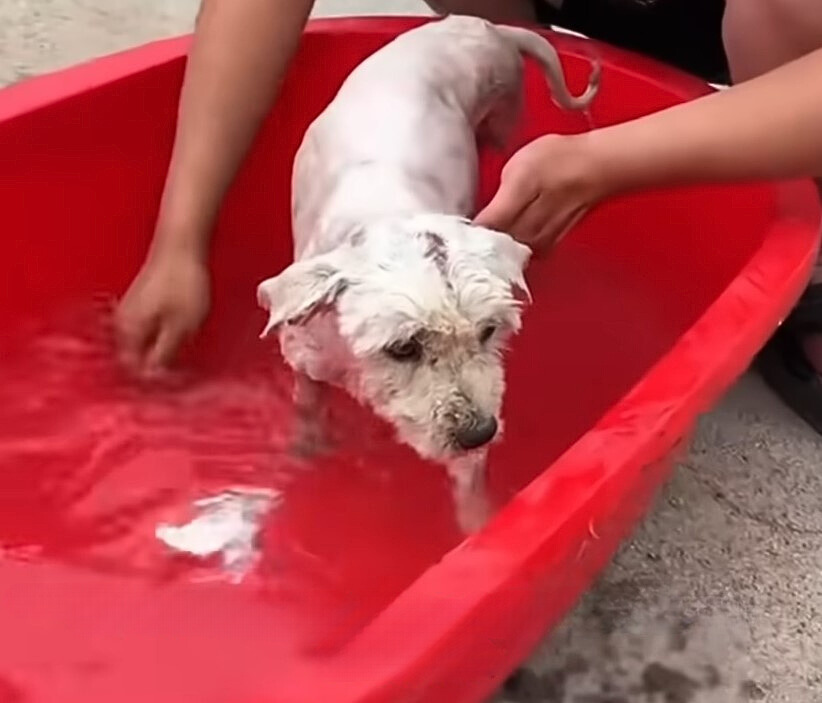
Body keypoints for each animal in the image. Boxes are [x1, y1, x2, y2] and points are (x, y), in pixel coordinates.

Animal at [258, 15, 600, 532]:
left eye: (488, 331)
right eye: (404, 347)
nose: (481, 432)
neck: (386, 217)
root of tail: (488, 26)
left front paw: (479, 529)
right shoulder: (307, 357)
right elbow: (308, 407)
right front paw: (306, 454)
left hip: (502, 114)